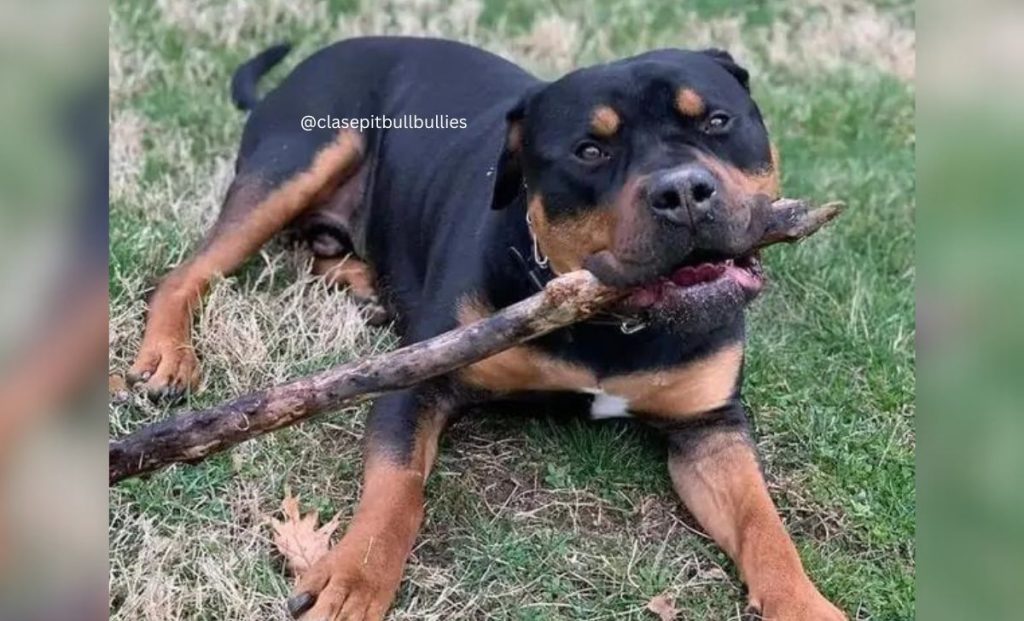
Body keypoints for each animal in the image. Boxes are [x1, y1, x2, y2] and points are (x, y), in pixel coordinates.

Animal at [128, 36, 847, 618]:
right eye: (590, 150)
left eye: (719, 121)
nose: (683, 192)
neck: (611, 323)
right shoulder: (415, 385)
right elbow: (397, 491)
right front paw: (352, 578)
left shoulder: (711, 428)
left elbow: (764, 524)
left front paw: (806, 604)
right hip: (305, 154)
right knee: (193, 268)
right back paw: (168, 354)